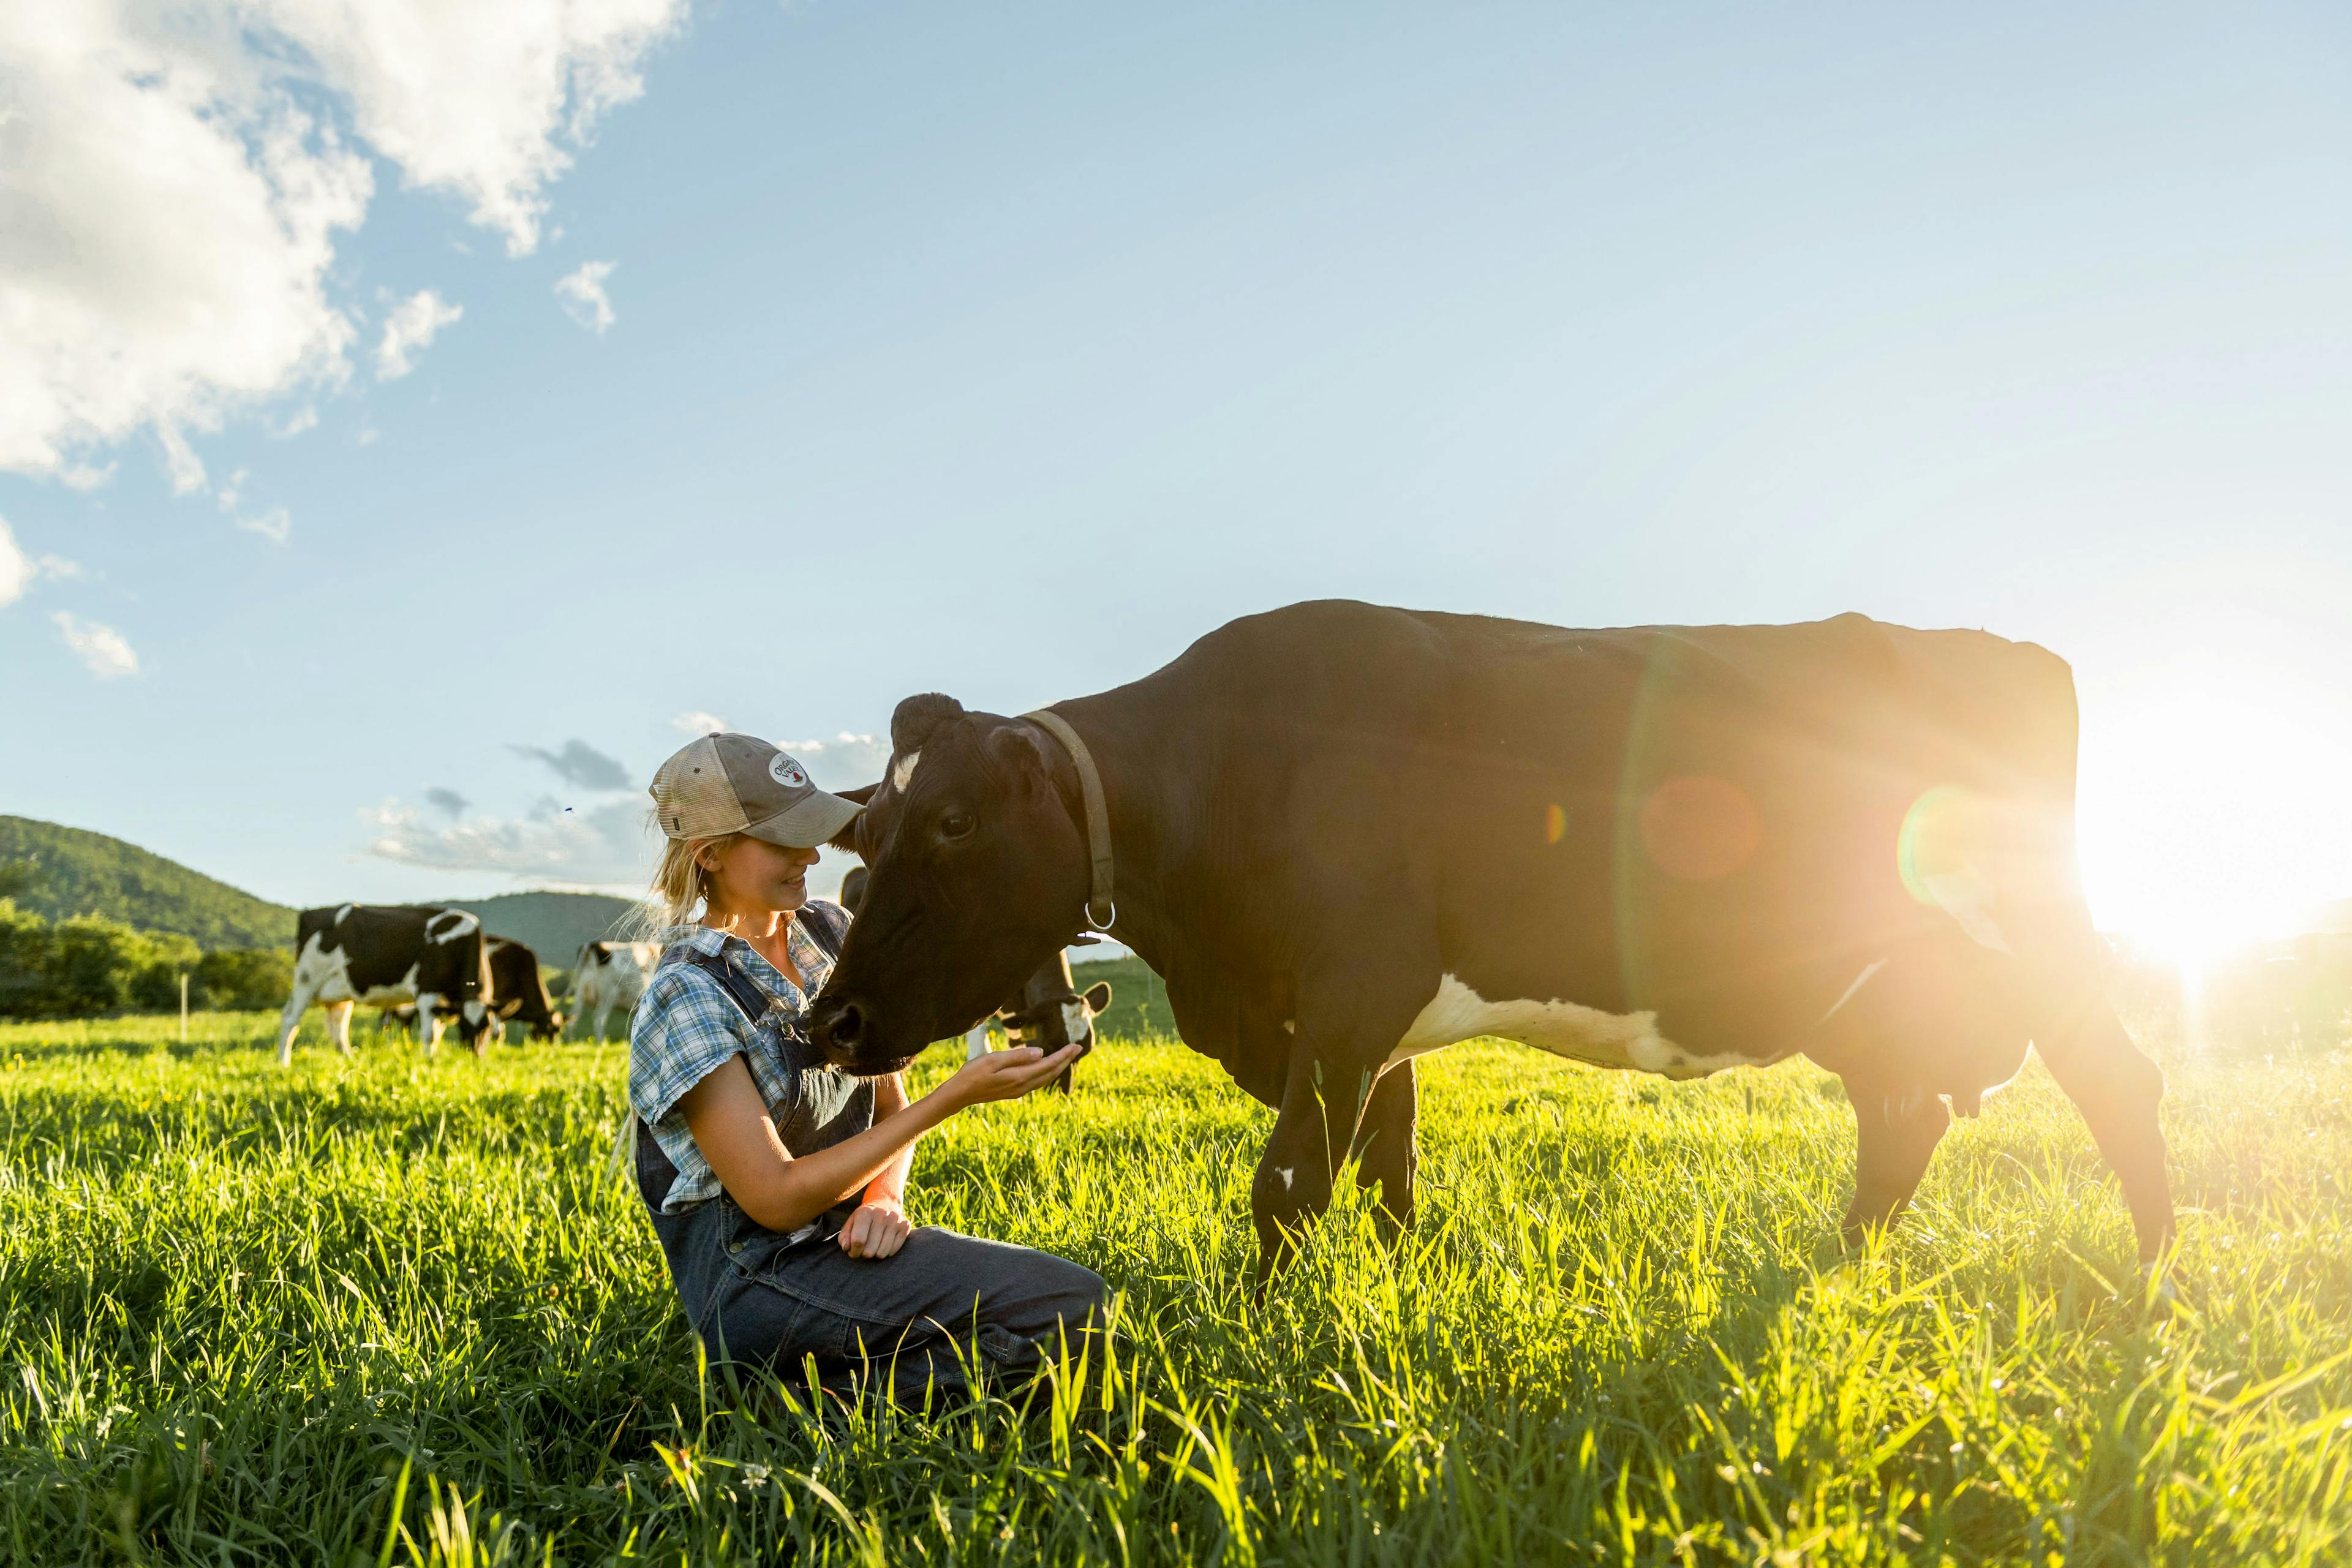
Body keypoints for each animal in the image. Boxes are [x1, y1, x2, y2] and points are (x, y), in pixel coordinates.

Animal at [277, 907, 494, 1067]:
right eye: (465, 1027)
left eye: (488, 1028)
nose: (477, 1057)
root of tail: (309, 914)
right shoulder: (427, 991)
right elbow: (430, 1036)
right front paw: (428, 1063)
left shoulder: (443, 1005)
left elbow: (438, 1035)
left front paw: (431, 1059)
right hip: (307, 979)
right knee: (290, 1019)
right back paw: (284, 1062)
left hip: (340, 990)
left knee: (338, 1026)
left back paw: (351, 1060)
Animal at [809, 606, 2163, 1288]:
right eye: (863, 832)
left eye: (954, 820)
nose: (829, 1022)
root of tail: (2006, 647)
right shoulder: (1348, 1022)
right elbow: (1388, 1172)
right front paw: (1412, 1299)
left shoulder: (1355, 990)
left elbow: (1287, 1186)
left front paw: (1260, 1328)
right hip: (1870, 984)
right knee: (1904, 1111)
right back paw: (1832, 1271)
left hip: (2031, 931)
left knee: (2118, 1079)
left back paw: (2149, 1291)